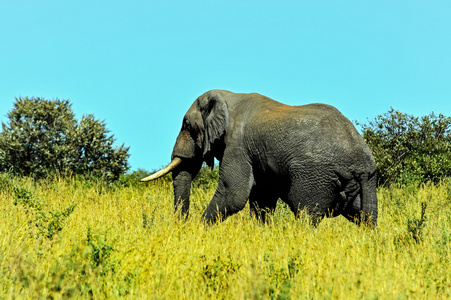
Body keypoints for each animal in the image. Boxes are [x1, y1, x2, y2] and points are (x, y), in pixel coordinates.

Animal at [142, 90, 378, 226]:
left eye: (187, 125)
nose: (181, 227)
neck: (228, 97)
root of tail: (362, 161)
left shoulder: (237, 144)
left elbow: (233, 193)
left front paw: (199, 231)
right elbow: (261, 198)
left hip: (315, 177)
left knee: (305, 213)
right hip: (363, 184)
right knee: (364, 216)